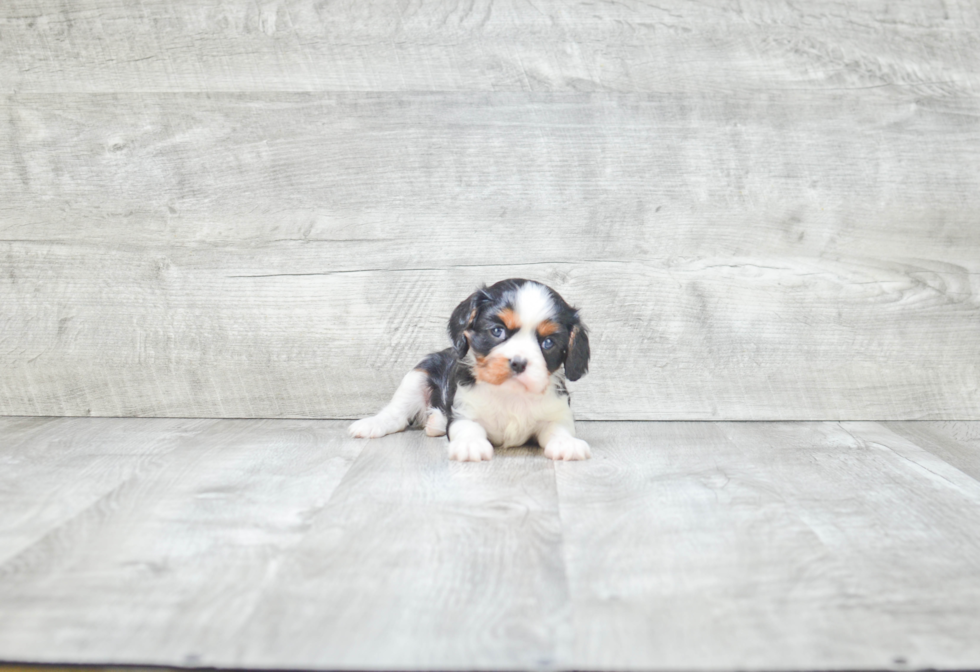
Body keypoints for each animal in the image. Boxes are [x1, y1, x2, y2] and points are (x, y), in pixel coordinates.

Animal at [348, 278, 588, 462]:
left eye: (548, 343)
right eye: (497, 331)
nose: (519, 363)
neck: (510, 393)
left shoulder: (556, 412)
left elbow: (559, 429)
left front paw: (567, 444)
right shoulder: (464, 411)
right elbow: (467, 428)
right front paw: (471, 445)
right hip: (418, 375)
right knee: (396, 414)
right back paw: (373, 424)